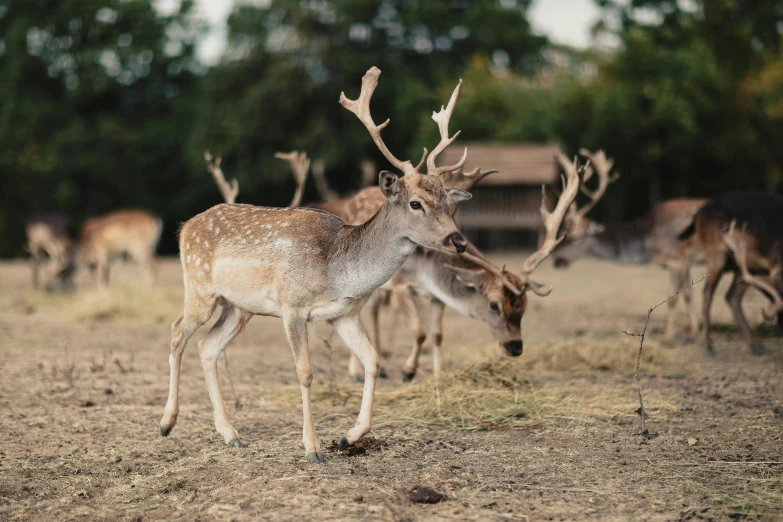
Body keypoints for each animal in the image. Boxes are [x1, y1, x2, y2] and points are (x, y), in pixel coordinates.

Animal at [156, 65, 468, 460]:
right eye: (416, 203)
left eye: (448, 202)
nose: (458, 240)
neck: (340, 272)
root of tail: (185, 228)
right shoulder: (292, 306)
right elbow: (305, 371)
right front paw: (312, 447)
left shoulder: (344, 313)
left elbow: (374, 360)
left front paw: (349, 437)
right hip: (199, 288)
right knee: (177, 332)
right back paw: (166, 423)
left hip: (238, 308)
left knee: (207, 347)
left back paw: (231, 434)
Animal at [552, 148, 712, 344]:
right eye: (563, 233)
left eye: (575, 236)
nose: (557, 260)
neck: (649, 241)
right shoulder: (686, 261)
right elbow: (688, 294)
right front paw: (692, 333)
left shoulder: (676, 260)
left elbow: (674, 298)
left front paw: (669, 337)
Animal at [676, 191, 783, 354]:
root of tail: (698, 214)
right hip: (716, 254)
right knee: (708, 292)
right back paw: (708, 345)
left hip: (741, 264)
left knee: (732, 296)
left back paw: (755, 345)